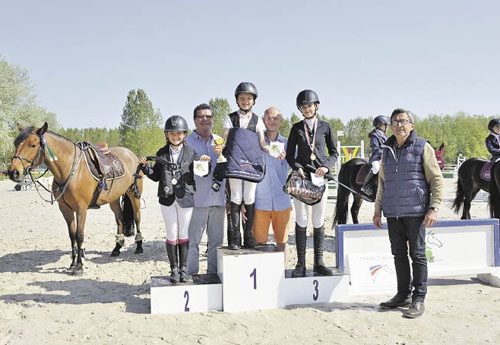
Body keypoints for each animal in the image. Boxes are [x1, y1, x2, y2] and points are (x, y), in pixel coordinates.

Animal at [8, 122, 145, 276]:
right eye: (16, 143)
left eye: (33, 145)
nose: (13, 172)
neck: (70, 170)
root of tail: (132, 155)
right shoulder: (65, 209)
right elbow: (72, 235)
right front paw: (73, 263)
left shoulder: (81, 209)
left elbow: (79, 235)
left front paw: (79, 265)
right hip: (114, 199)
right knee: (120, 219)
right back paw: (116, 248)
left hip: (134, 194)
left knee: (137, 217)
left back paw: (139, 246)